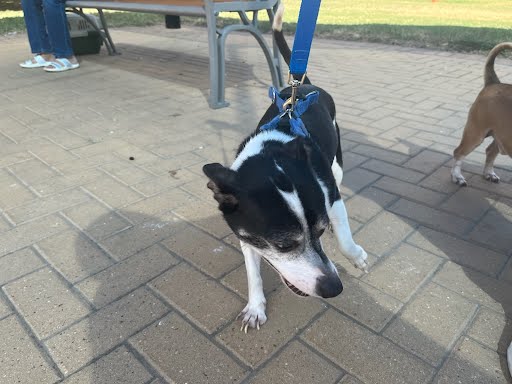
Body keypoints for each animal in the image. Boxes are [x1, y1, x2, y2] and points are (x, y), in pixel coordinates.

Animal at [202, 4, 366, 332]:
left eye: (320, 230)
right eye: (283, 246)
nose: (334, 288)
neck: (273, 150)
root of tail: (304, 87)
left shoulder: (331, 197)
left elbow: (344, 239)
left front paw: (355, 255)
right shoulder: (246, 234)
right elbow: (252, 272)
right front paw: (255, 307)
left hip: (337, 165)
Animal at [452, 42, 512, 186]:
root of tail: (494, 83)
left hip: (501, 135)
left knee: (490, 151)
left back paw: (489, 173)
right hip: (475, 134)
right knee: (458, 152)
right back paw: (457, 176)